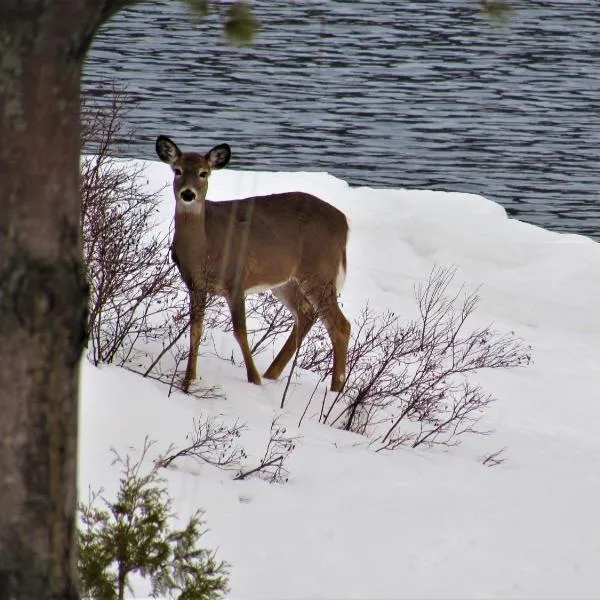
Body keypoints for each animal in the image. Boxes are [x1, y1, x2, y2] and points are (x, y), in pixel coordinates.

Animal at [155, 138, 352, 396]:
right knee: (306, 313)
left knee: (341, 325)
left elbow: (240, 331)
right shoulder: (195, 285)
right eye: (177, 170)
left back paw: (335, 391)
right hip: (285, 280)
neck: (205, 247)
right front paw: (187, 381)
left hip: (319, 271)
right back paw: (272, 374)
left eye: (203, 173)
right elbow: (195, 330)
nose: (188, 194)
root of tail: (345, 224)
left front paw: (254, 380)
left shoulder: (236, 279)